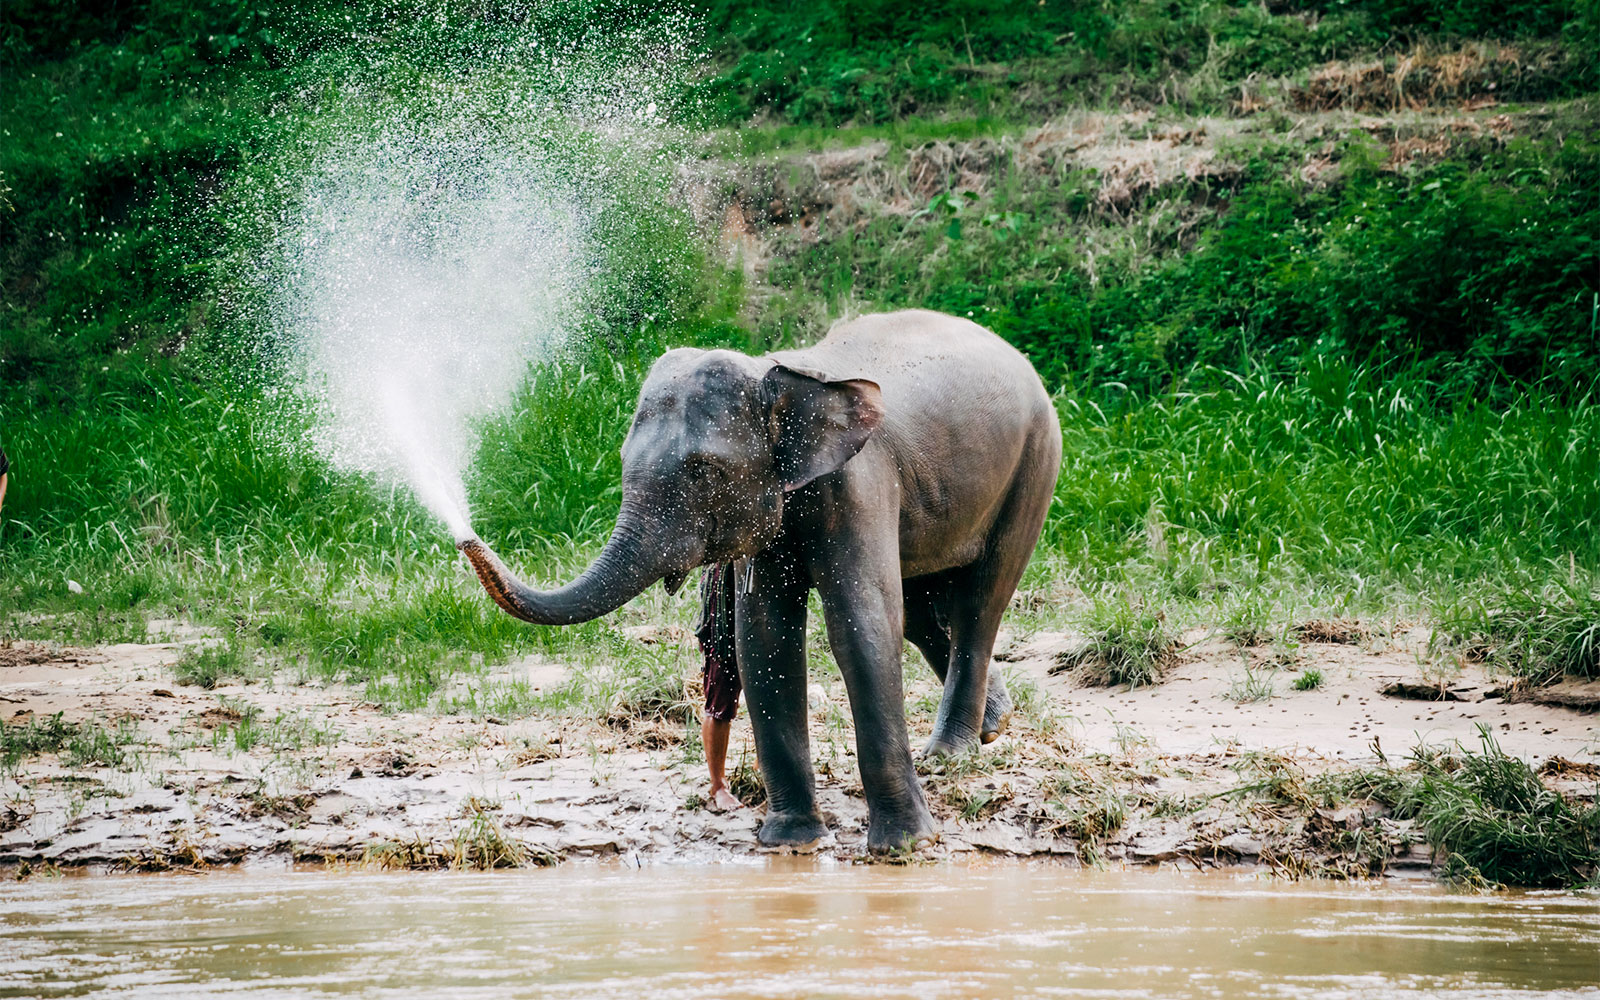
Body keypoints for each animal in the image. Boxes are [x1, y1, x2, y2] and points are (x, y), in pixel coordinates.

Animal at [459, 309, 1062, 852]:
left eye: (703, 470)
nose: (465, 539)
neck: (778, 376)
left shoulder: (859, 483)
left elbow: (860, 626)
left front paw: (905, 847)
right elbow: (767, 639)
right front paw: (793, 843)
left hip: (1036, 459)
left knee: (980, 601)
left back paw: (951, 752)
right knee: (921, 611)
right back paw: (994, 725)